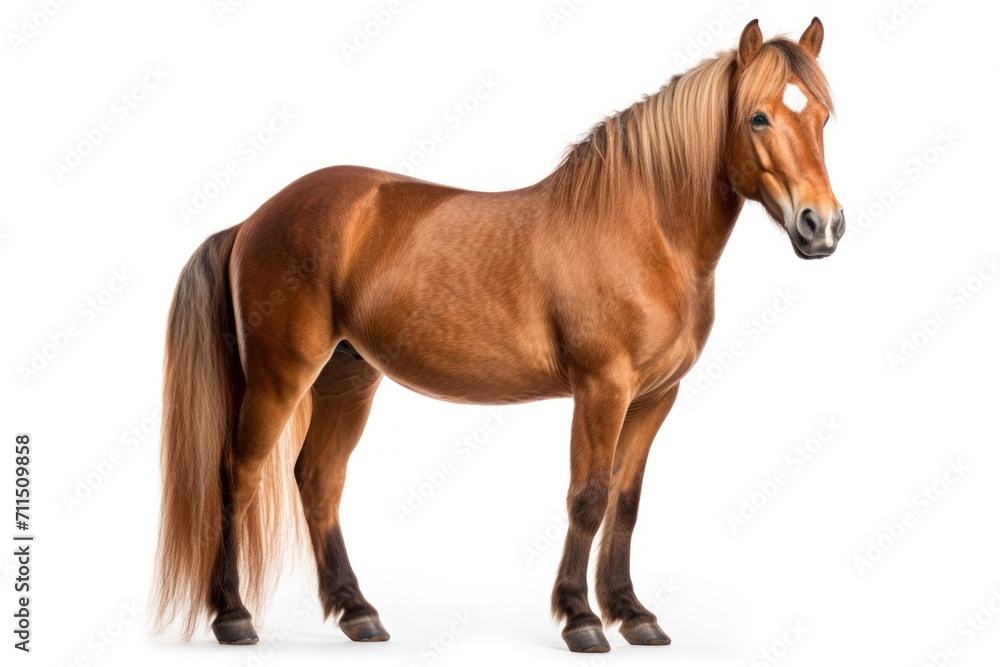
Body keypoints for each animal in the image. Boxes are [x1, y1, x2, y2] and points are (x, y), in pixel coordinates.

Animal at [153, 18, 842, 653]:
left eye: (825, 116)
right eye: (758, 118)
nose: (822, 225)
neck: (643, 230)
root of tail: (252, 219)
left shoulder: (653, 397)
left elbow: (626, 502)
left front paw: (634, 615)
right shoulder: (602, 389)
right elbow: (589, 497)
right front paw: (582, 620)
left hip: (348, 376)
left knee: (319, 479)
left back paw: (358, 612)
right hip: (281, 374)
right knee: (238, 474)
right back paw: (233, 616)